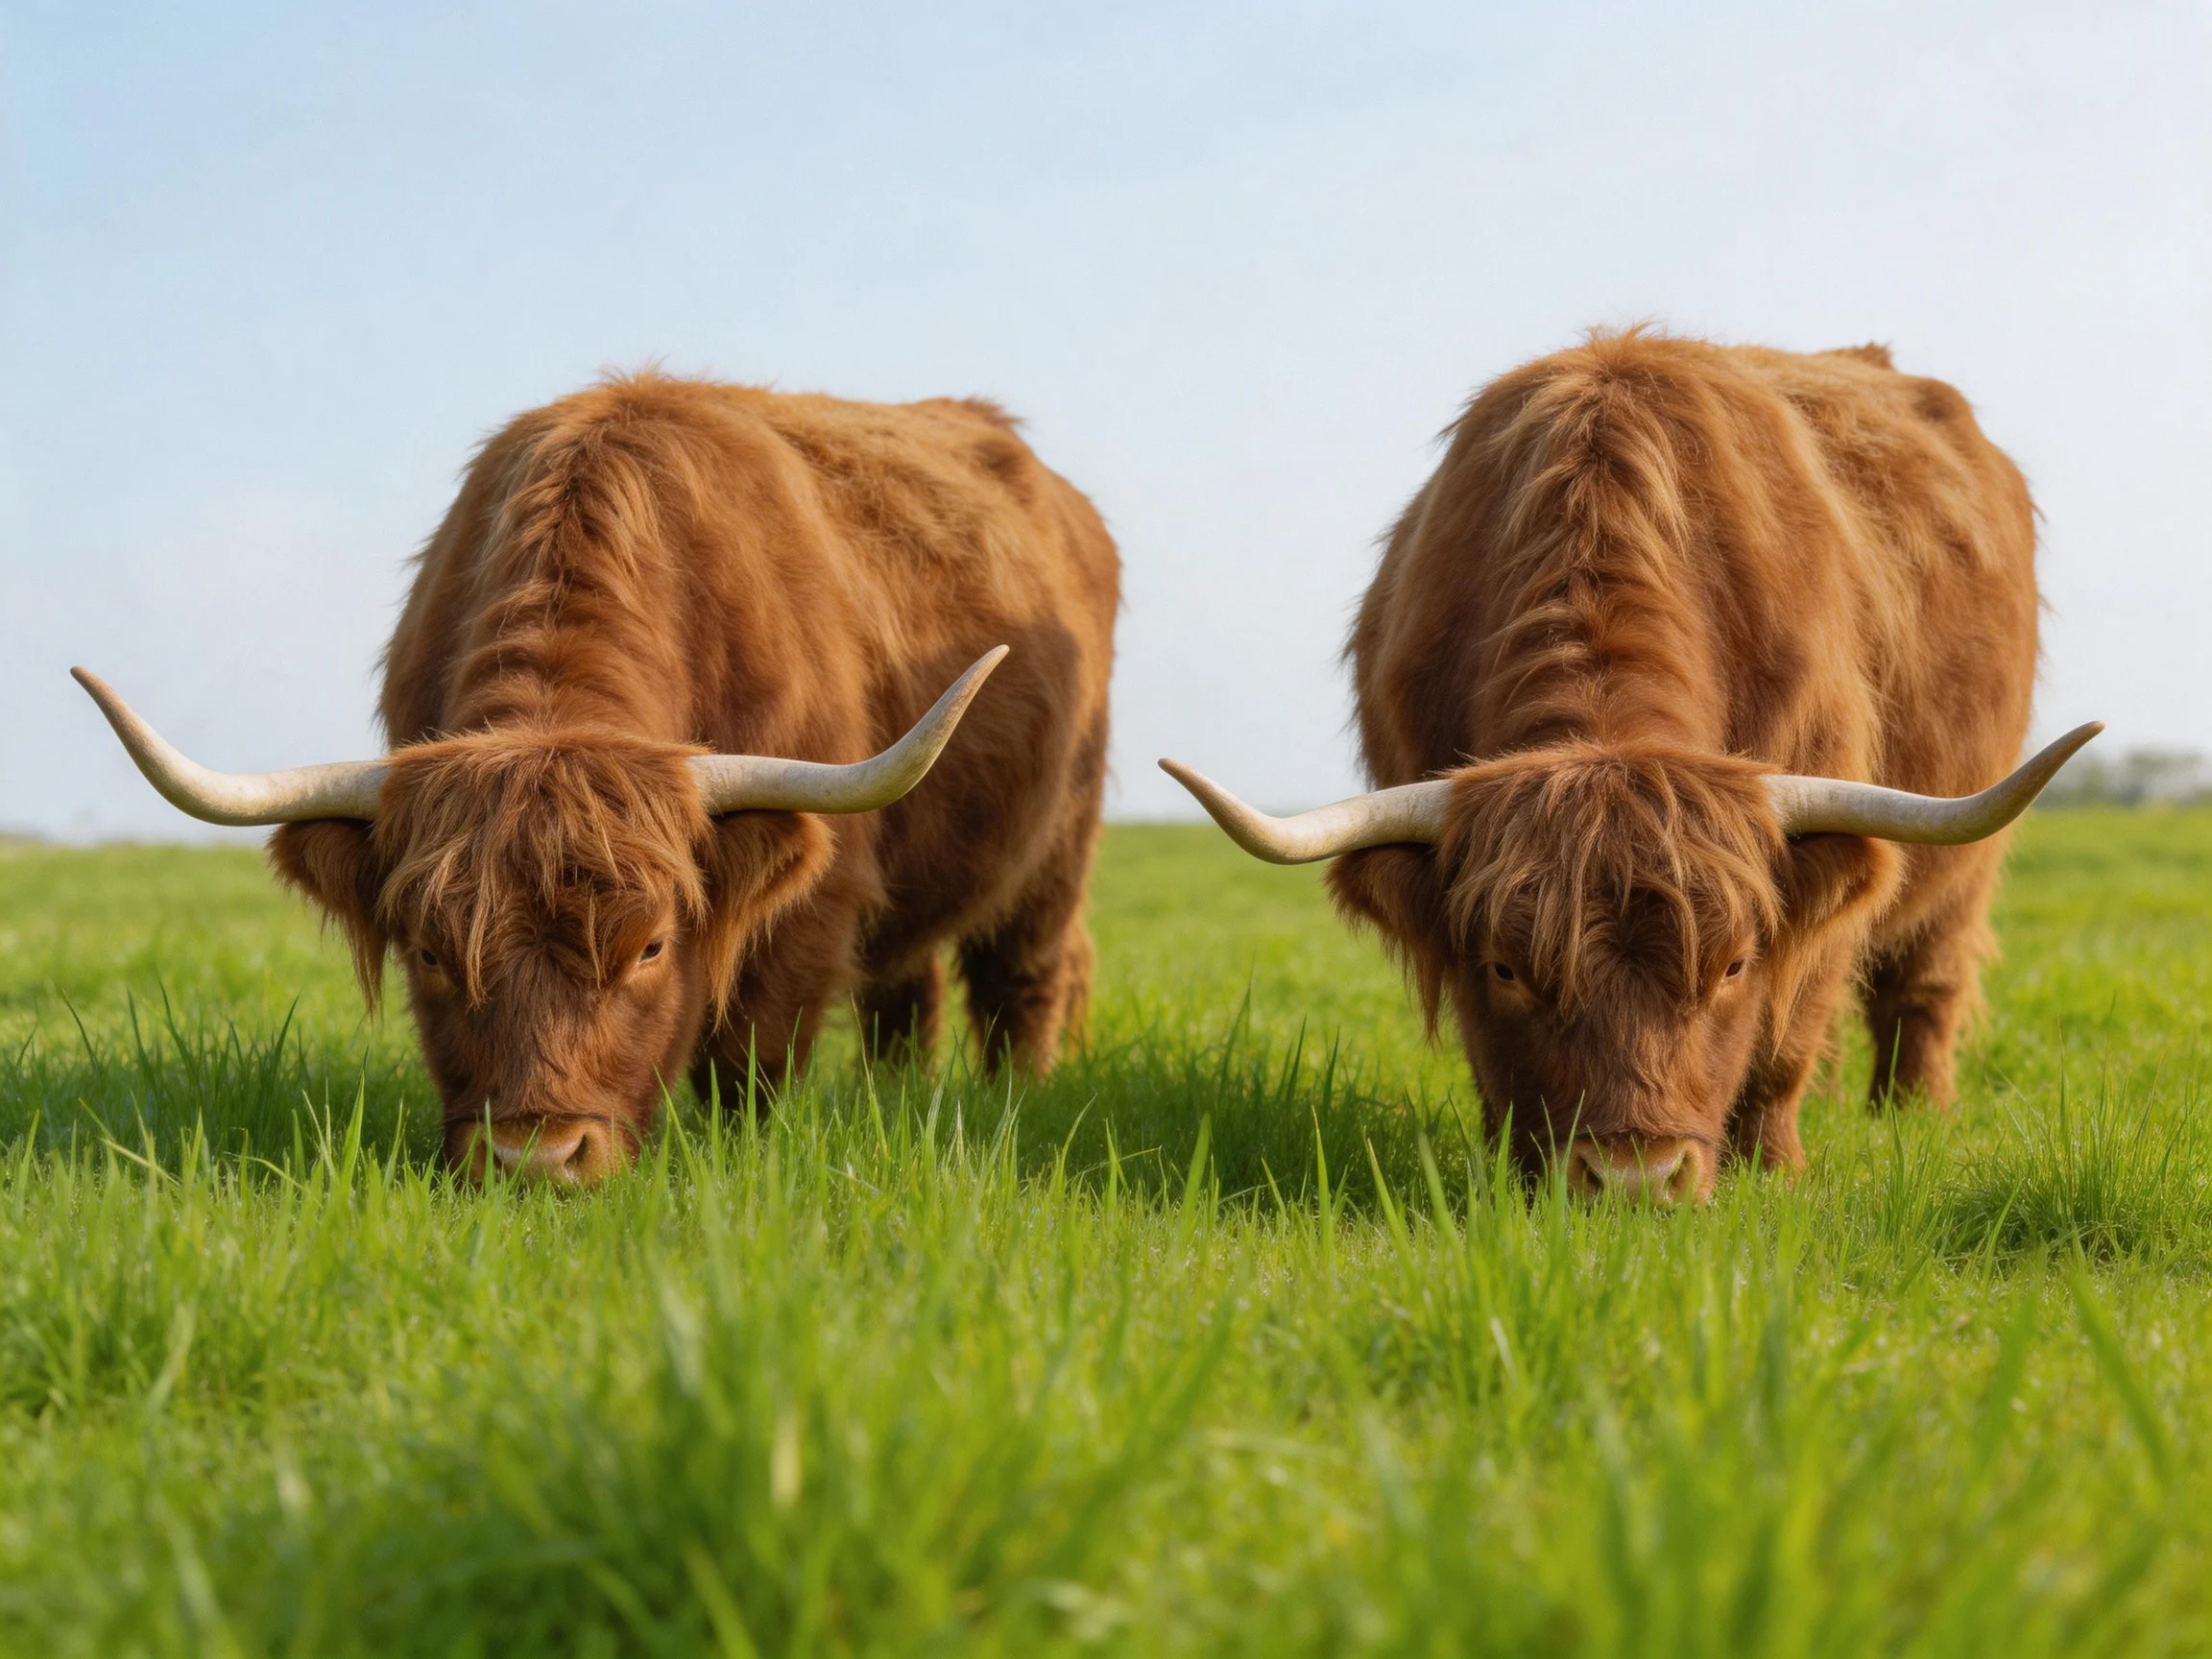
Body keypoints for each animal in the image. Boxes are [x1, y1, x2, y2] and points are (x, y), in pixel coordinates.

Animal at [79, 371, 1120, 1184]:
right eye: (431, 954)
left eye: (652, 947)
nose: (537, 1160)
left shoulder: (814, 899)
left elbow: (749, 1059)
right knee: (906, 992)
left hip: (1058, 842)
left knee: (1024, 976)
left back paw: (1016, 1096)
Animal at [1163, 330, 2096, 1204]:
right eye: (1506, 969)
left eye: (1731, 966)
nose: (1634, 1180)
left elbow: (1782, 1041)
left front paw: (1775, 1173)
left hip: (1963, 859)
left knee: (1923, 984)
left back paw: (1913, 1115)